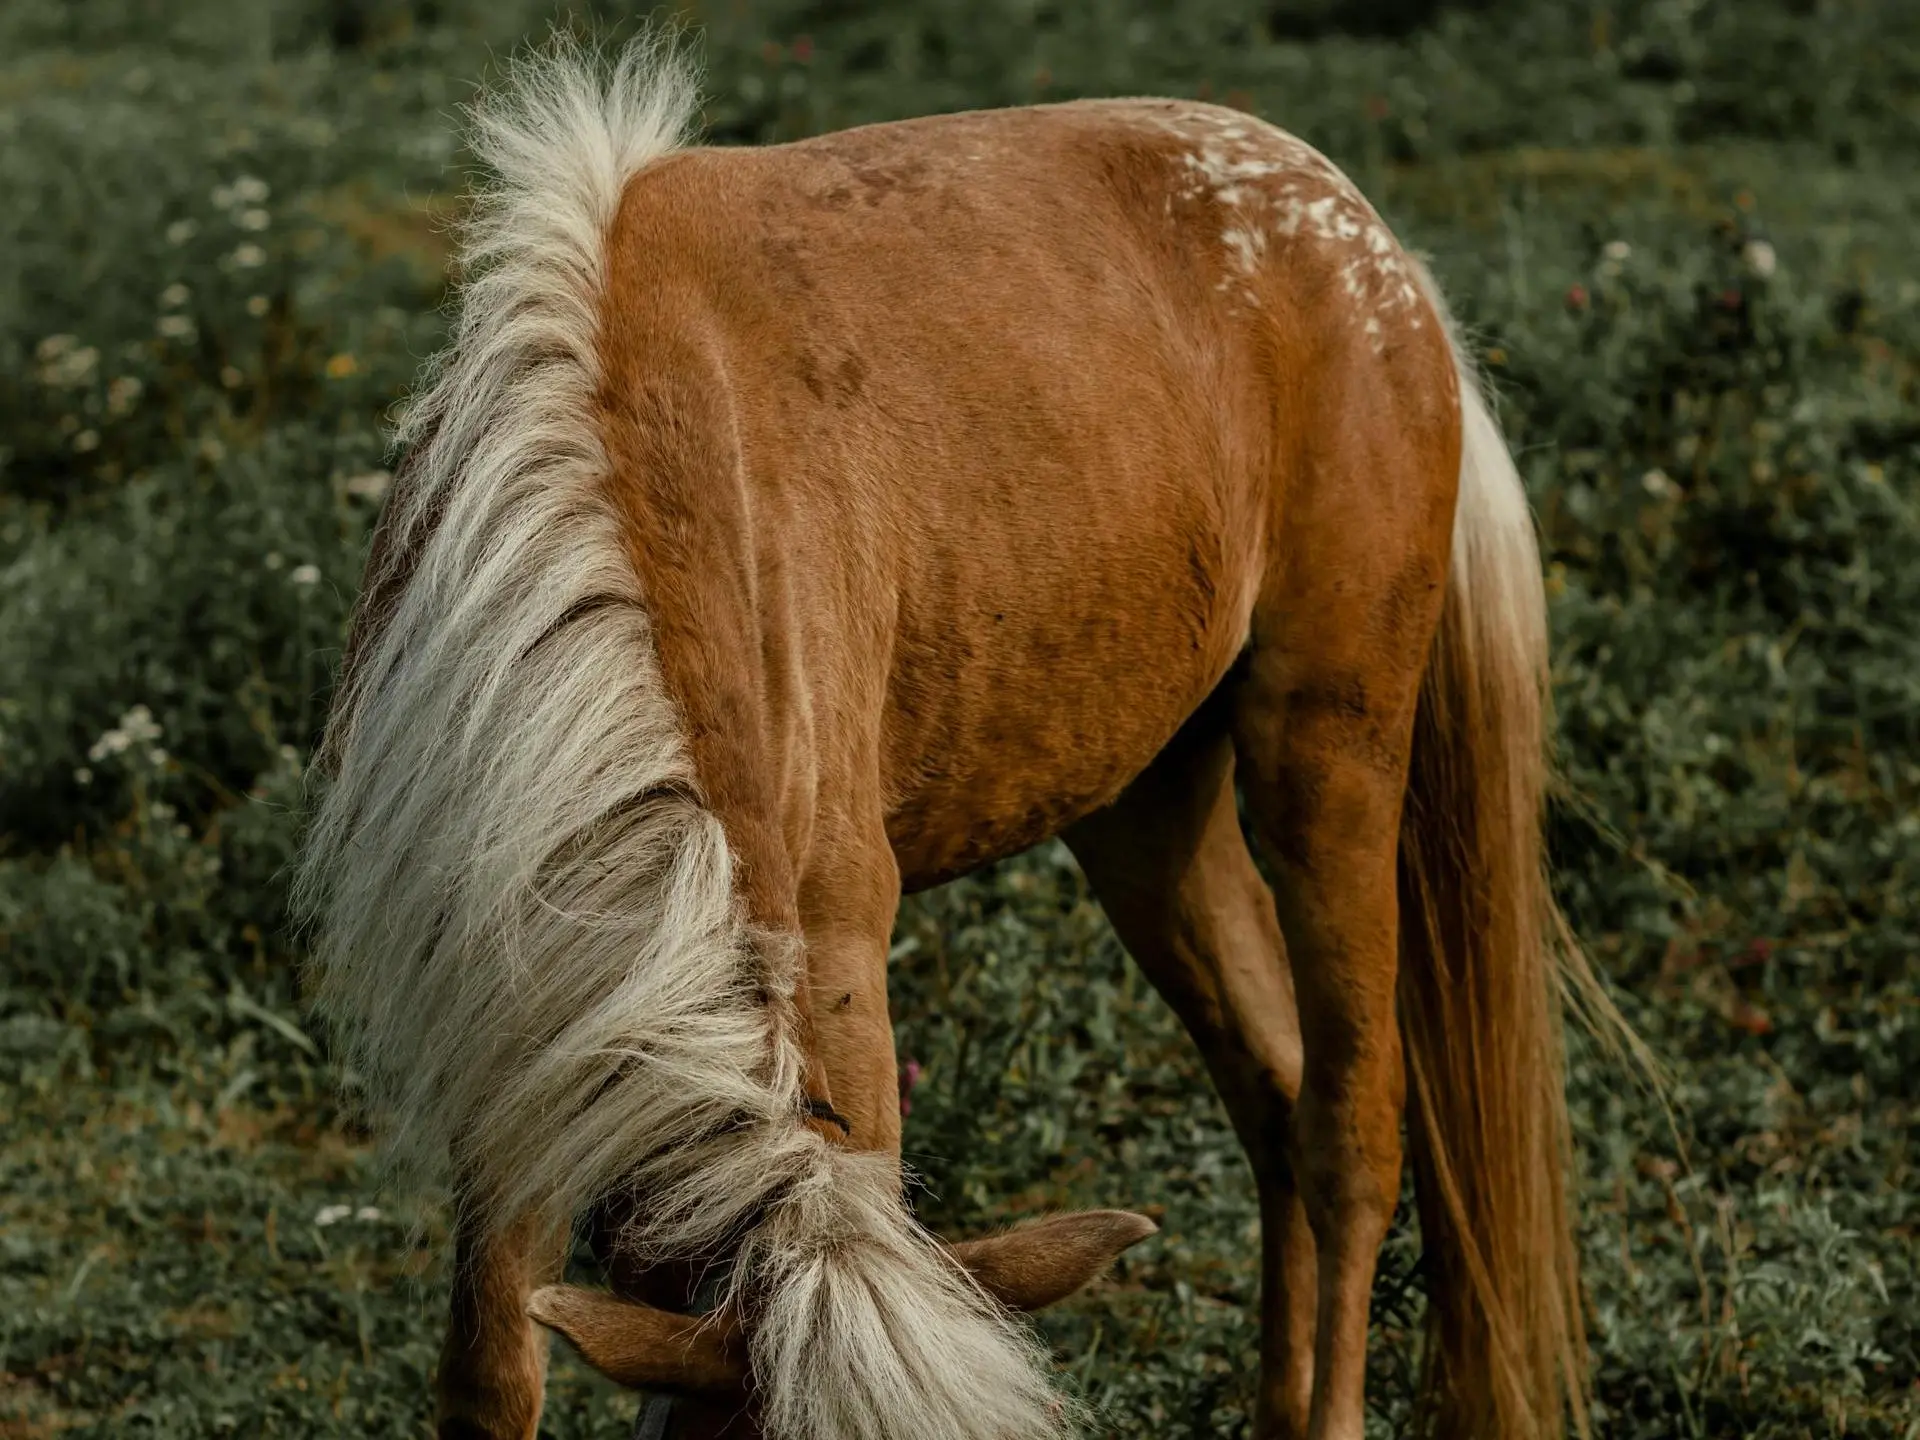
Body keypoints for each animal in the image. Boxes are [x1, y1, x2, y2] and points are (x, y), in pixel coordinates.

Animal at [299, 30, 1612, 1440]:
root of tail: (1380, 255)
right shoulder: (519, 1013)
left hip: (1330, 754)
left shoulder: (831, 939)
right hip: (1148, 814)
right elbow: (492, 1371)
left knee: (1350, 1132)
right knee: (1273, 1093)